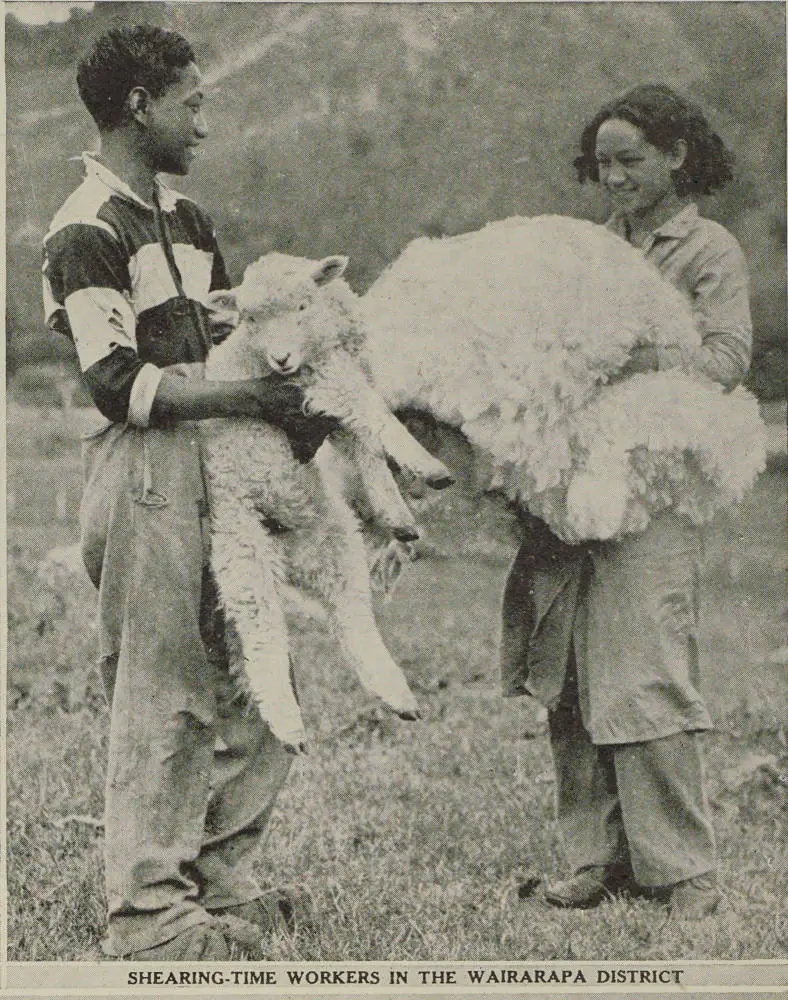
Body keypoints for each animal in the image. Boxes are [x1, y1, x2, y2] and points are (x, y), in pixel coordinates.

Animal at [200, 250, 452, 752]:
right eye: (250, 318)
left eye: (301, 306)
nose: (280, 358)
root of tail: (285, 551)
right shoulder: (319, 384)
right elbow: (374, 416)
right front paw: (428, 466)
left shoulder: (326, 391)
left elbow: (366, 439)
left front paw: (398, 512)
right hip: (240, 539)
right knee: (262, 631)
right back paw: (287, 723)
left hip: (332, 539)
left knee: (351, 614)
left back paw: (395, 693)